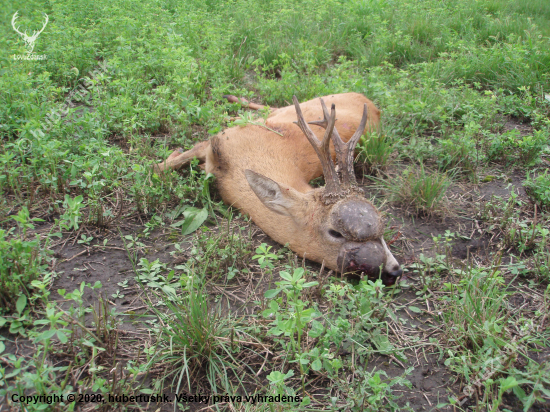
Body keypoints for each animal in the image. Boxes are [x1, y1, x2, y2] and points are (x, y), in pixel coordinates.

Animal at [157, 93, 404, 284]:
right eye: (335, 232)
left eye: (383, 228)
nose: (394, 271)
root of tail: (371, 104)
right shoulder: (218, 140)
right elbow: (159, 167)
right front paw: (173, 155)